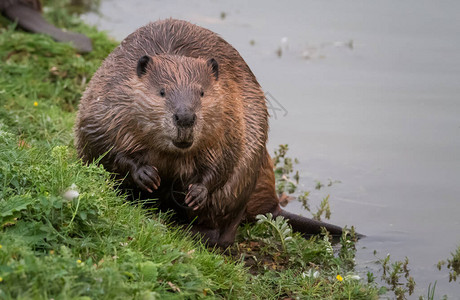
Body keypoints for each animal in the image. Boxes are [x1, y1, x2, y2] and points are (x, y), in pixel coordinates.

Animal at [73, 19, 344, 248]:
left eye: (202, 92)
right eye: (161, 91)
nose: (185, 117)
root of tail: (274, 208)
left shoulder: (231, 115)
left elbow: (226, 158)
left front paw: (195, 193)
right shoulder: (108, 101)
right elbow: (101, 142)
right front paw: (147, 175)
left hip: (239, 189)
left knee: (223, 229)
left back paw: (185, 226)